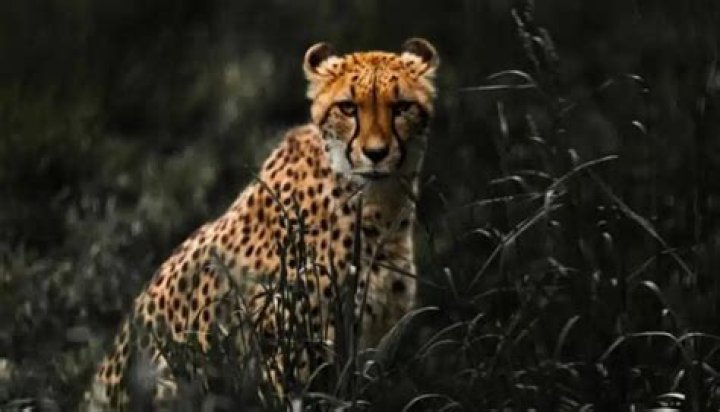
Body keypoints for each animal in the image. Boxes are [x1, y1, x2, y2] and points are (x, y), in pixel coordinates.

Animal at [83, 37, 439, 410]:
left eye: (401, 107)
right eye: (348, 107)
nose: (376, 153)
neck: (378, 207)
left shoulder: (371, 349)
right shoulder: (286, 357)